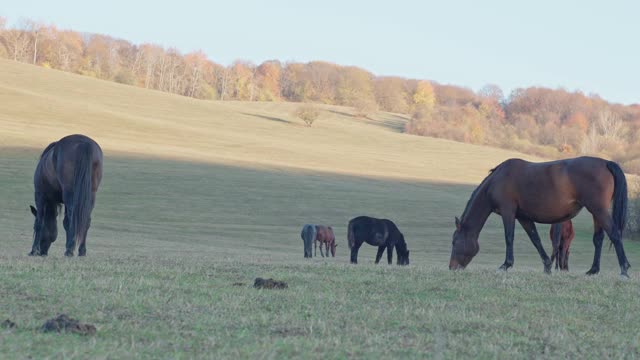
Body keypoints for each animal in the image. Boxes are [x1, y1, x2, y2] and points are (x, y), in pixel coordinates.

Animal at [450, 156, 632, 278]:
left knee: (614, 234)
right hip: (596, 212)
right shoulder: (523, 217)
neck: (497, 180)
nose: (451, 267)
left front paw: (505, 265)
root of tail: (605, 162)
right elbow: (535, 239)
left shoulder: (508, 212)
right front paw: (547, 266)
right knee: (598, 239)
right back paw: (593, 270)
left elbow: (509, 237)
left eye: (454, 242)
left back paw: (624, 269)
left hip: (598, 209)